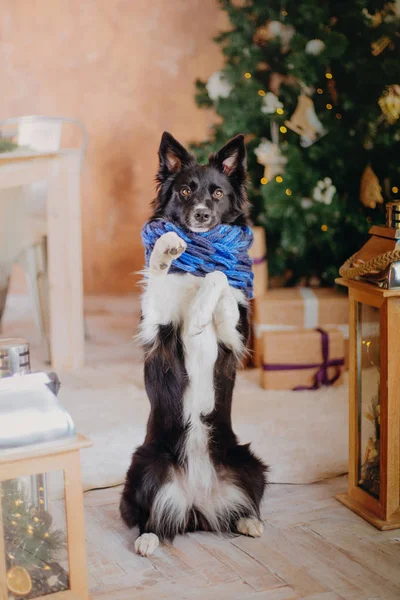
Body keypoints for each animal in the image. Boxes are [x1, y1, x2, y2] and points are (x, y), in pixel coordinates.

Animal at [120, 132, 268, 556]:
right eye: (185, 190)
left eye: (217, 193)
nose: (201, 215)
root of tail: (197, 503)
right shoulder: (158, 327)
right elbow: (159, 270)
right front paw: (169, 245)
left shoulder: (236, 334)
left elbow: (220, 276)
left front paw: (202, 311)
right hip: (145, 464)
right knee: (149, 515)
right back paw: (148, 539)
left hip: (249, 461)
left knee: (243, 506)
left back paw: (250, 523)